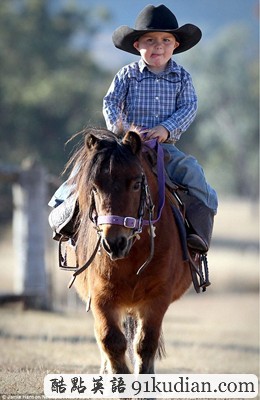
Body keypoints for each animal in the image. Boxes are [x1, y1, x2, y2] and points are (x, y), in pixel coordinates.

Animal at [66, 128, 192, 376]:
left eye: (136, 184)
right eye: (94, 187)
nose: (114, 242)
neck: (133, 255)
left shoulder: (157, 298)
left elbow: (145, 344)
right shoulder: (102, 298)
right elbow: (111, 341)